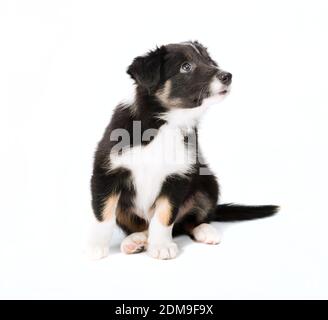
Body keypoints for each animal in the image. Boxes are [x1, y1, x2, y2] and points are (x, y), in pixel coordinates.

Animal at [88, 40, 278, 260]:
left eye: (209, 61)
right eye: (186, 67)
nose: (227, 76)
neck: (166, 122)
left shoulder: (177, 176)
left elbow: (164, 215)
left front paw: (161, 245)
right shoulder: (107, 171)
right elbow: (103, 214)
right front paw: (95, 246)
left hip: (207, 183)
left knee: (190, 220)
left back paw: (204, 230)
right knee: (138, 226)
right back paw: (135, 240)